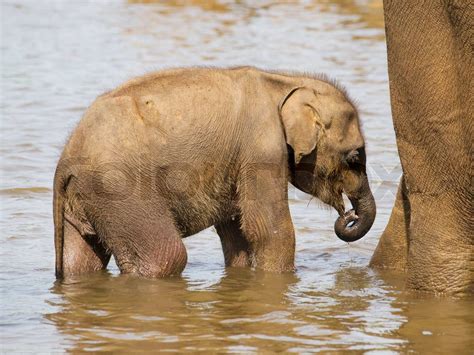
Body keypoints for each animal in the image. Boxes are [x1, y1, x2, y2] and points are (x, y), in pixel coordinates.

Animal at [53, 66, 376, 278]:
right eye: (354, 157)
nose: (348, 215)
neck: (286, 82)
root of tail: (64, 161)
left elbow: (237, 232)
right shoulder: (261, 150)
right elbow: (268, 228)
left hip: (89, 199)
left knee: (80, 261)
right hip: (120, 190)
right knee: (165, 258)